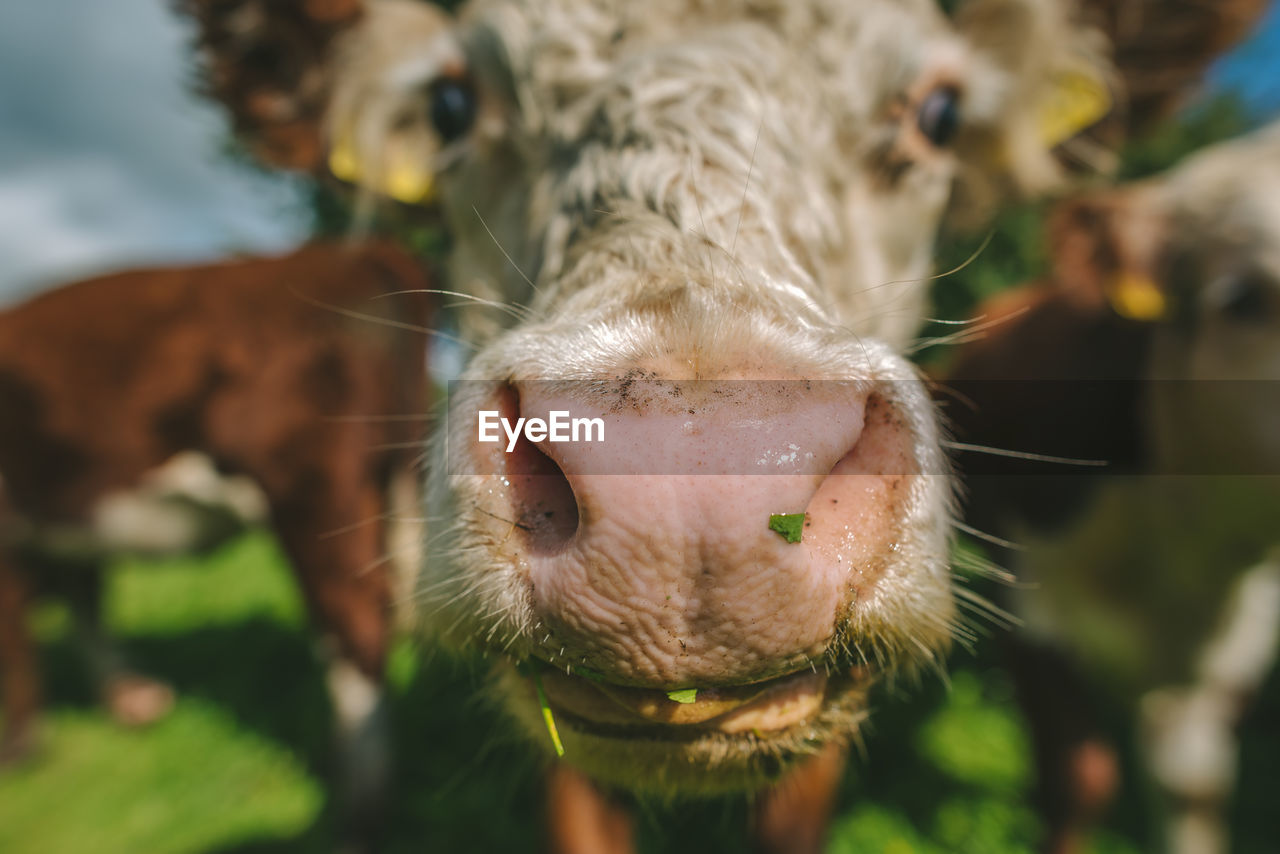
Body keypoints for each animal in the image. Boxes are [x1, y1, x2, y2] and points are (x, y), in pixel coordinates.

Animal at [0, 239, 435, 839]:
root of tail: (347, 253)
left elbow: (16, 633)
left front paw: (22, 748)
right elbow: (86, 597)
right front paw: (131, 701)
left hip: (312, 490)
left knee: (357, 625)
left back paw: (358, 818)